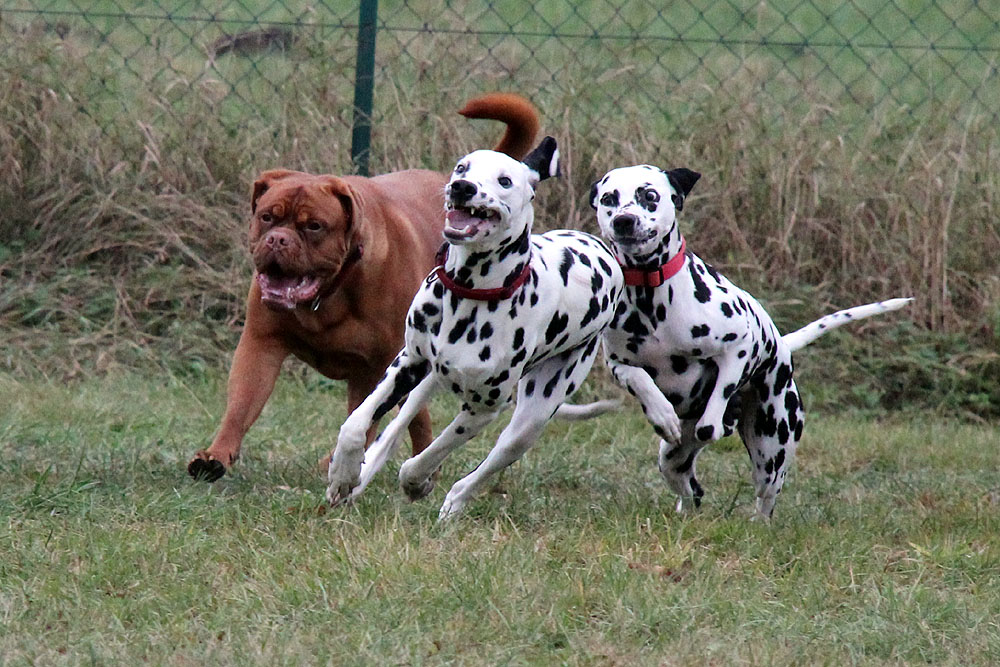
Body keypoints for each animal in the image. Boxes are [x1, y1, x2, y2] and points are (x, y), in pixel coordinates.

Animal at [190, 92, 544, 480]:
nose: (278, 240)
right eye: (267, 216)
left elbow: (384, 418)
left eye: (314, 226)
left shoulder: (386, 363)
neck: (329, 293)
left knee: (411, 419)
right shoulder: (261, 344)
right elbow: (241, 404)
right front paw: (216, 455)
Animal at [326, 137, 624, 520]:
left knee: (487, 465)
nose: (462, 188)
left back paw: (453, 503)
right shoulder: (407, 363)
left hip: (530, 420)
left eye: (505, 181)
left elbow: (426, 458)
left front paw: (415, 481)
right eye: (462, 167)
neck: (471, 292)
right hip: (425, 380)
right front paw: (342, 474)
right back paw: (361, 477)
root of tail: (604, 247)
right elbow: (355, 424)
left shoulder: (484, 409)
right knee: (393, 430)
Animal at [592, 164, 916, 520]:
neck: (651, 296)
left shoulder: (738, 346)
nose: (624, 220)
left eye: (649, 195)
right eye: (609, 199)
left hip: (772, 450)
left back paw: (756, 516)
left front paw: (722, 418)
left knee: (764, 497)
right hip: (673, 460)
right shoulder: (618, 364)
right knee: (689, 485)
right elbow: (639, 378)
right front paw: (662, 413)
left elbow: (712, 418)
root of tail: (783, 345)